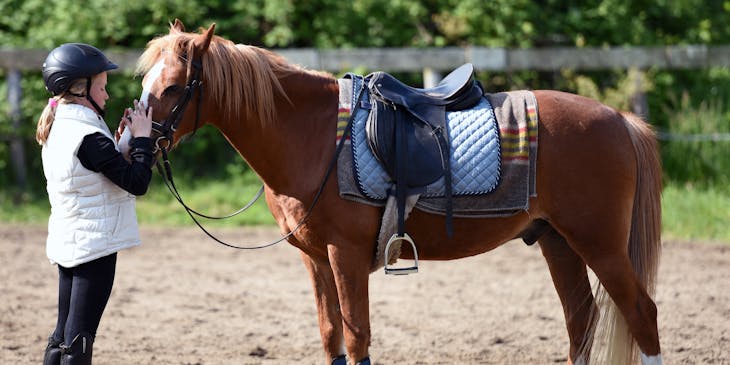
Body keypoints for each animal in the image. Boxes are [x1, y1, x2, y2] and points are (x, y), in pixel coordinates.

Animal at [136, 21, 660, 362]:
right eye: (146, 80)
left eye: (174, 86)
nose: (130, 142)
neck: (312, 135)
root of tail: (620, 119)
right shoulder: (314, 258)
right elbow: (332, 335)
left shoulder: (344, 255)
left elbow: (357, 336)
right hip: (558, 241)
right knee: (581, 322)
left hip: (600, 245)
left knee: (641, 314)